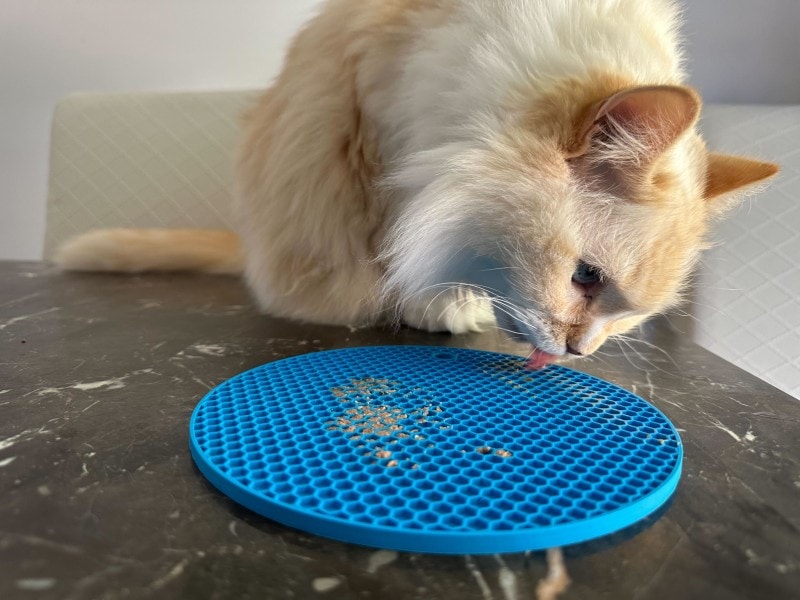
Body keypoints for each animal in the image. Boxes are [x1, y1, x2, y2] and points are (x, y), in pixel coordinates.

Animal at [54, 0, 776, 370]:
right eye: (585, 279)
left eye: (631, 317)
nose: (577, 353)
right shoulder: (391, 133)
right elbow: (406, 240)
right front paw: (434, 303)